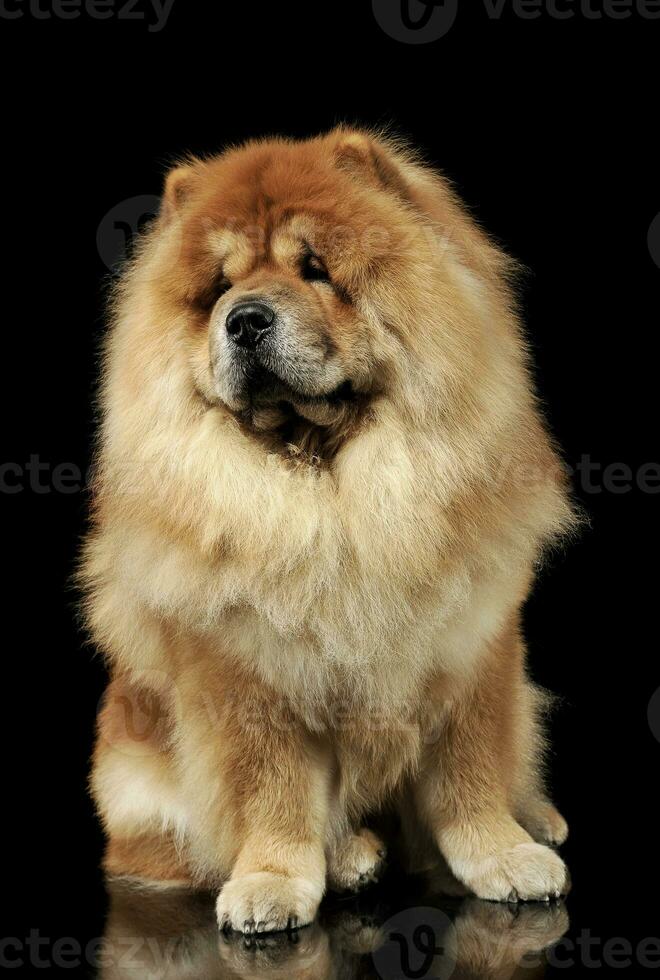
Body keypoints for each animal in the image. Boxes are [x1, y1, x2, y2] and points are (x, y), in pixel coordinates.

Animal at [82, 126, 576, 932]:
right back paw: (349, 858)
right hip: (132, 780)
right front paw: (274, 881)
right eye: (218, 288)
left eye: (314, 269)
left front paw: (506, 856)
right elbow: (273, 790)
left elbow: (470, 772)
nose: (245, 318)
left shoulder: (472, 644)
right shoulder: (247, 679)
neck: (330, 491)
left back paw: (537, 818)